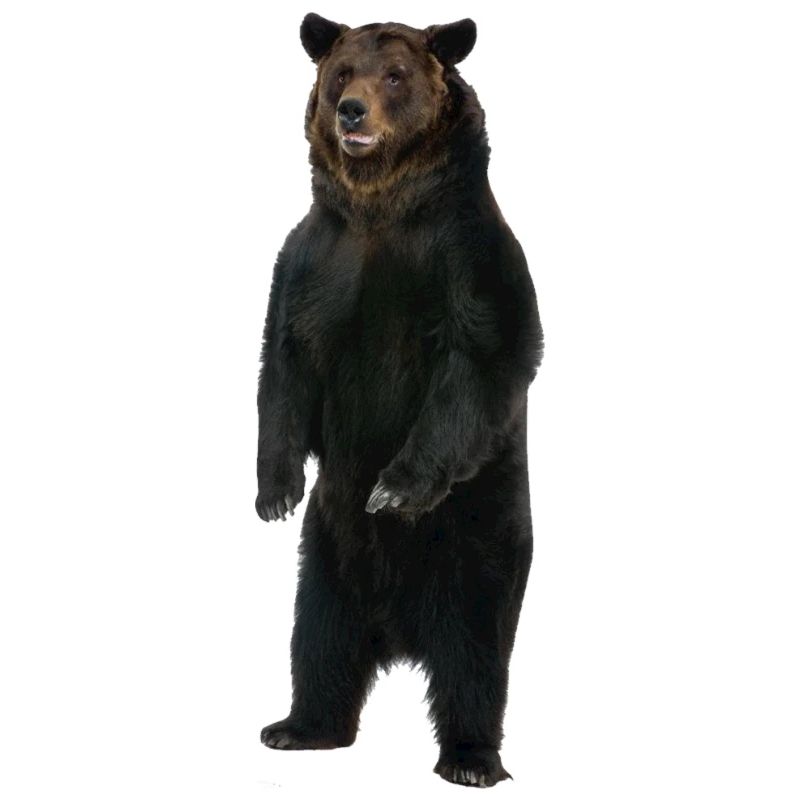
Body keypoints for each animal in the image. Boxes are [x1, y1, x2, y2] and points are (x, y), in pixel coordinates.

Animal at [255, 13, 544, 788]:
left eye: (396, 75)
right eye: (341, 72)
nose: (352, 111)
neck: (380, 207)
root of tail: (400, 634)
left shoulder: (465, 257)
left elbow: (479, 360)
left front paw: (394, 489)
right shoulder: (314, 261)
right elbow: (283, 365)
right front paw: (274, 491)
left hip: (480, 539)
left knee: (476, 655)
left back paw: (471, 759)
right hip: (326, 556)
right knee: (318, 639)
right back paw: (299, 726)